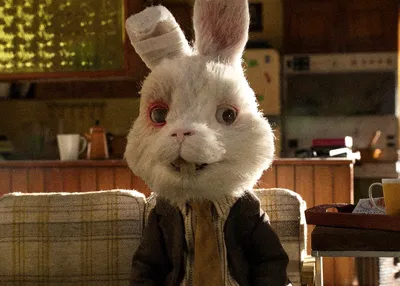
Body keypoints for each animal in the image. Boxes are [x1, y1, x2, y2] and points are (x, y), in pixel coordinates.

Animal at [124, 0, 288, 286]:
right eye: (158, 115)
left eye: (228, 115)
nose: (181, 133)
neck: (200, 198)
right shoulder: (157, 222)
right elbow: (148, 262)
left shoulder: (253, 214)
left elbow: (268, 259)